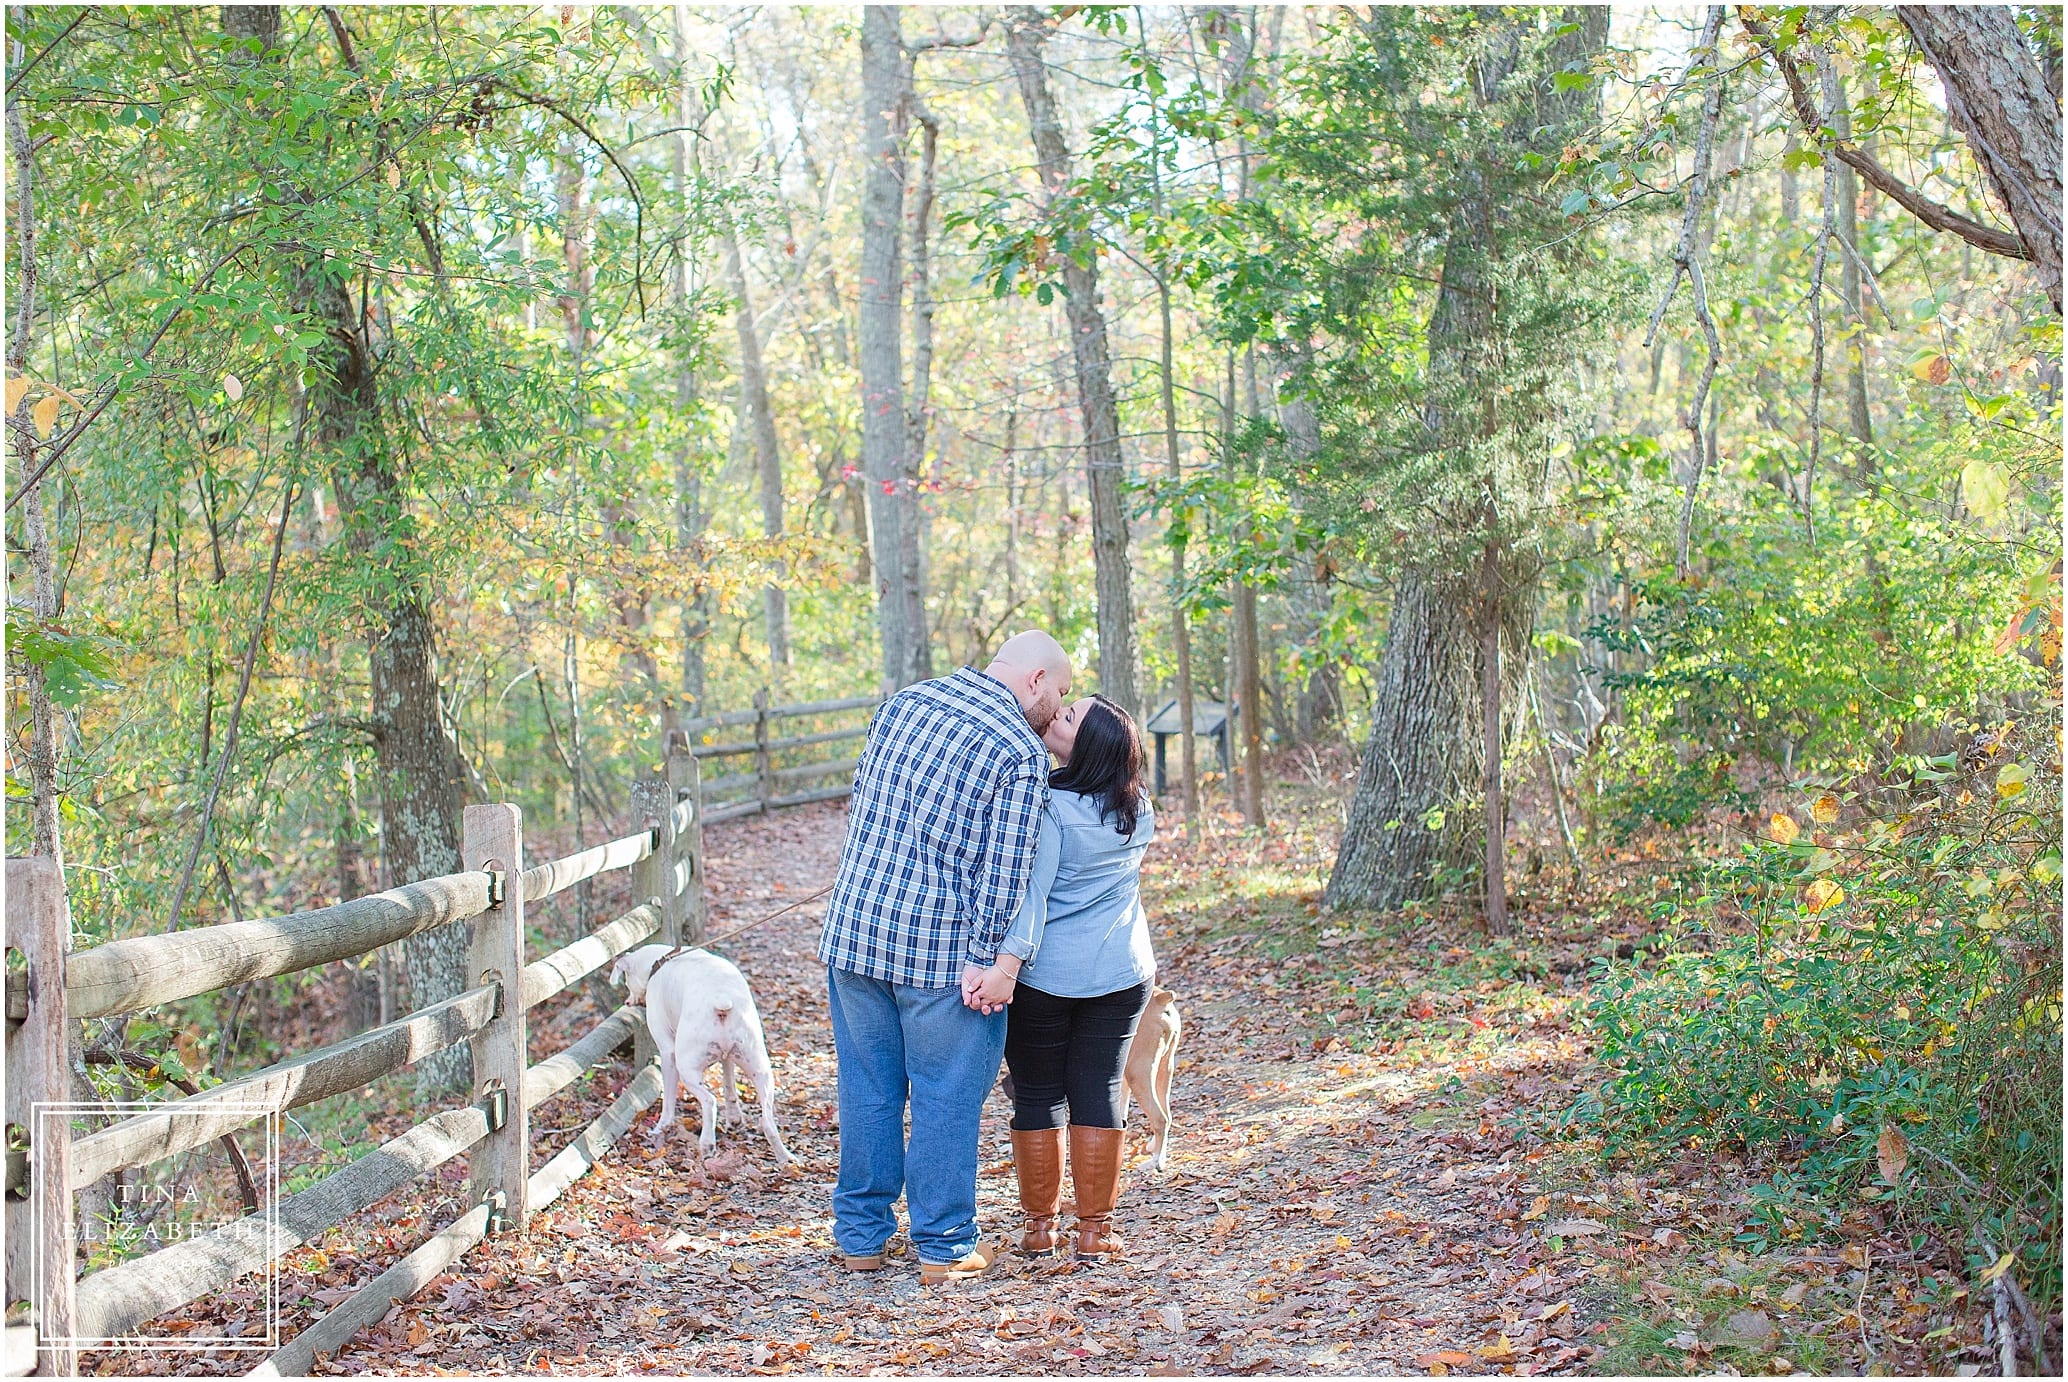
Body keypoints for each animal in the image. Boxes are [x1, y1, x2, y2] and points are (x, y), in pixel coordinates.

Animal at [607, 939, 794, 1166]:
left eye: (626, 980)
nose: (627, 1002)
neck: (660, 961)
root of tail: (721, 1000)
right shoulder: (727, 1058)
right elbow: (729, 1084)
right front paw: (734, 1118)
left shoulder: (668, 1053)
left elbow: (669, 1099)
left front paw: (661, 1127)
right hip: (761, 1069)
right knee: (766, 1119)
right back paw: (785, 1157)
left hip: (687, 1069)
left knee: (709, 1101)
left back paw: (707, 1145)